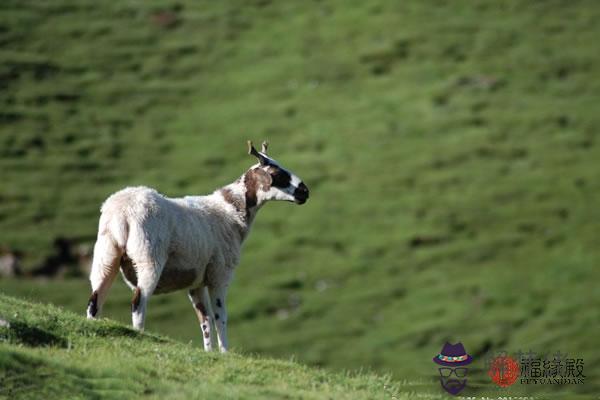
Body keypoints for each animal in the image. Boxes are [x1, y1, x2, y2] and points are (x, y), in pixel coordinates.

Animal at [85, 139, 310, 352]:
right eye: (276, 174)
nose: (305, 192)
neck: (232, 210)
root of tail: (121, 212)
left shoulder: (196, 282)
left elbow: (205, 320)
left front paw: (209, 352)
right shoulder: (219, 275)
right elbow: (220, 317)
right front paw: (225, 352)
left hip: (106, 254)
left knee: (94, 300)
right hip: (148, 256)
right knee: (138, 302)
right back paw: (140, 335)